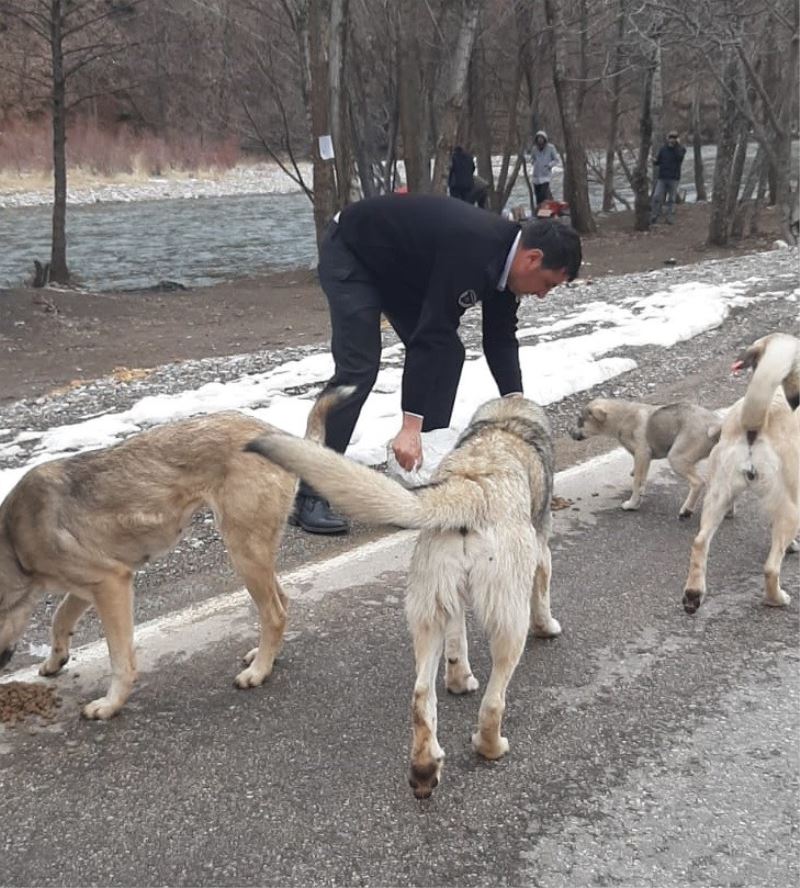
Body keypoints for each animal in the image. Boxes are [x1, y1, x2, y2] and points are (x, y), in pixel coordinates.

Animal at [0, 386, 346, 720]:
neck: (14, 543)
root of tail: (278, 434)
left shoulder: (112, 583)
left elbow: (120, 658)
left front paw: (111, 704)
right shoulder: (87, 587)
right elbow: (59, 618)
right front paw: (55, 660)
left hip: (244, 551)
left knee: (274, 613)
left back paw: (258, 671)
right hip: (252, 550)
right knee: (282, 602)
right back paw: (265, 656)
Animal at [247, 398, 560, 800]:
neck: (505, 424)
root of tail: (470, 485)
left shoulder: (451, 602)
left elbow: (457, 645)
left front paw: (459, 680)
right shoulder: (541, 551)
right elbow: (543, 592)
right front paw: (548, 627)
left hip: (428, 609)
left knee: (421, 694)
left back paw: (424, 768)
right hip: (508, 621)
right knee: (493, 701)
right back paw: (489, 746)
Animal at [572, 398, 720, 516]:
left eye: (580, 420)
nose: (569, 432)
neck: (622, 418)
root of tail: (714, 424)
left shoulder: (641, 454)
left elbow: (637, 481)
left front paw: (632, 504)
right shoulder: (646, 458)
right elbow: (642, 477)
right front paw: (640, 493)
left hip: (676, 458)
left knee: (698, 482)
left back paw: (686, 510)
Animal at [680, 330, 800, 612]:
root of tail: (754, 424)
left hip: (717, 495)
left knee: (700, 542)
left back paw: (693, 594)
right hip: (791, 508)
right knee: (770, 568)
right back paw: (776, 599)